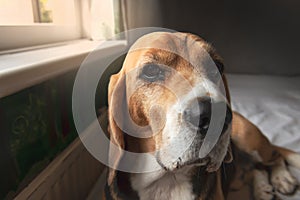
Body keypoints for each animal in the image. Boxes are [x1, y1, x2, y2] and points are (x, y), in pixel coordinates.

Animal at [103, 32, 300, 199]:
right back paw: (262, 189)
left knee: (274, 157)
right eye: (151, 71)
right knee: (254, 168)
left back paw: (282, 178)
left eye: (217, 66)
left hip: (249, 139)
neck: (167, 181)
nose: (216, 116)